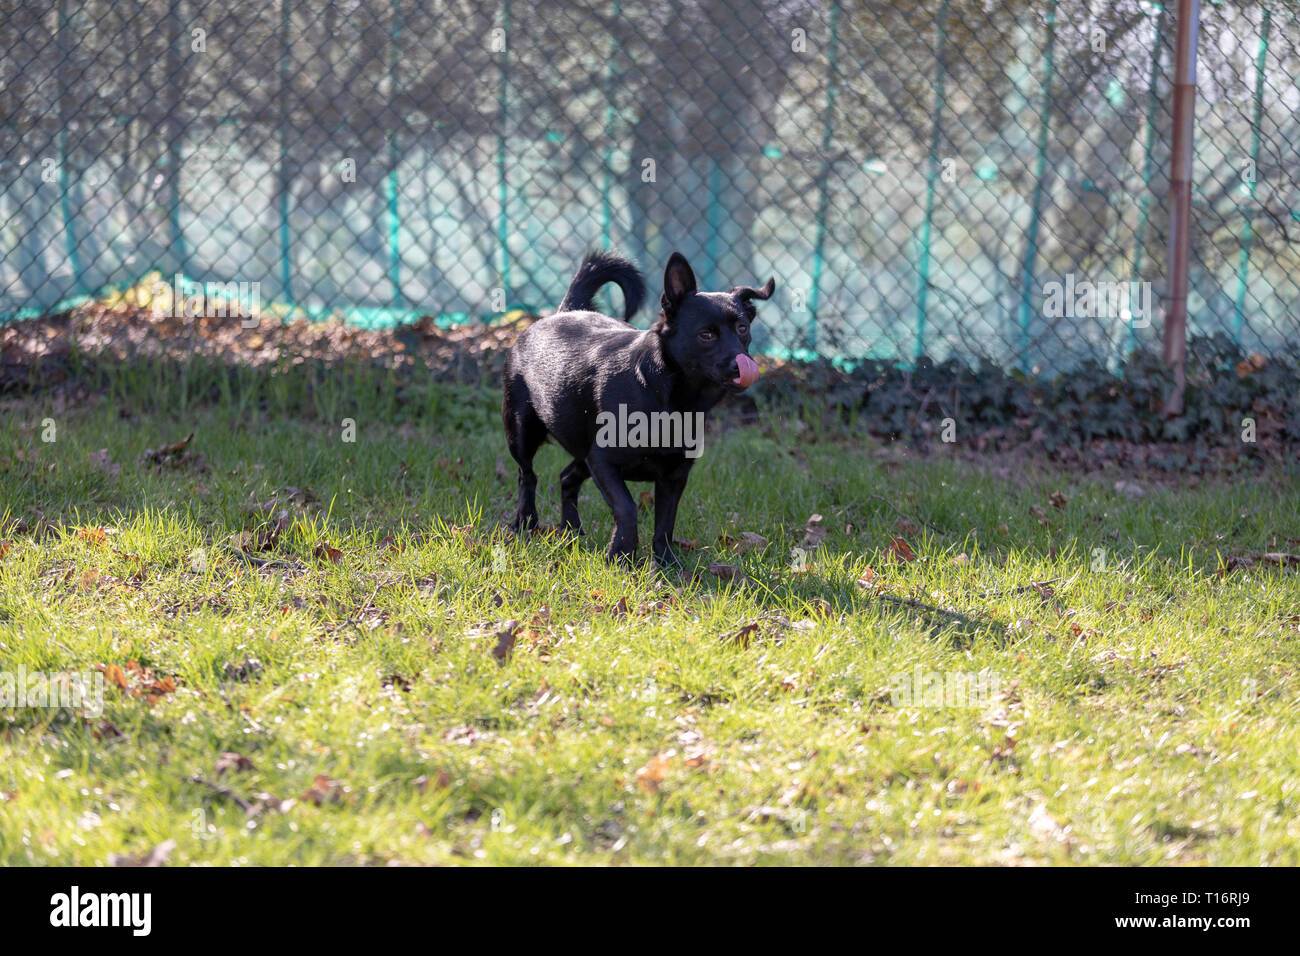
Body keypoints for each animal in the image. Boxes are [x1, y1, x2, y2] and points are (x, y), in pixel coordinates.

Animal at [501, 252, 769, 567]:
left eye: (742, 329)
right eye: (706, 335)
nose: (742, 364)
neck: (669, 397)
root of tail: (563, 311)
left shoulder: (673, 476)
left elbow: (665, 524)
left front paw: (667, 564)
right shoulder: (604, 463)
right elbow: (627, 509)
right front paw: (620, 556)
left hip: (582, 451)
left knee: (566, 479)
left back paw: (571, 530)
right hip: (522, 431)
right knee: (527, 476)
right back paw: (525, 522)